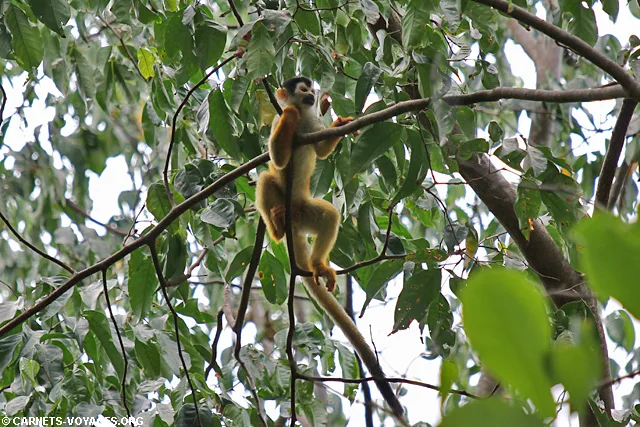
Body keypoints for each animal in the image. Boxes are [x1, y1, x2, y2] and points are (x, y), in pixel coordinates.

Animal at [256, 77, 405, 421]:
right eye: (301, 89)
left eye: (311, 87)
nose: (312, 95)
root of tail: (294, 221)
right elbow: (278, 157)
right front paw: (289, 115)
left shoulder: (315, 126)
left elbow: (321, 152)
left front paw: (339, 124)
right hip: (288, 204)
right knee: (267, 177)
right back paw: (276, 227)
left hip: (304, 211)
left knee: (330, 216)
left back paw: (317, 264)